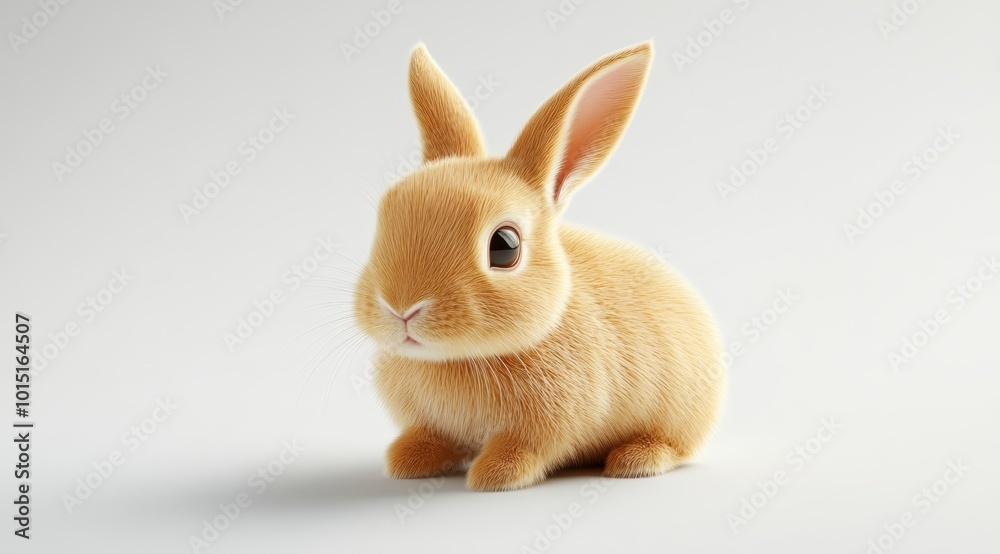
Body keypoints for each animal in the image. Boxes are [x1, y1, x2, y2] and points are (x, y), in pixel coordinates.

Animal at [352, 41, 725, 491]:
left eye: (504, 247)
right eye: (383, 219)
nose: (401, 308)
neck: (462, 358)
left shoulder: (546, 426)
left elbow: (525, 448)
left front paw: (495, 475)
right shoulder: (430, 422)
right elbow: (431, 436)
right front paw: (407, 460)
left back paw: (635, 459)